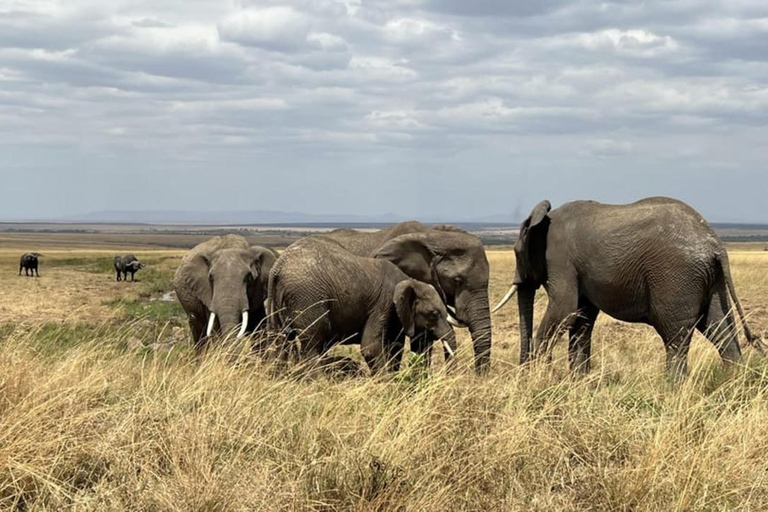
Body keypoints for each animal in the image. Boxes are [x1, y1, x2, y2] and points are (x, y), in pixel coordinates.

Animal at [268, 238, 456, 374]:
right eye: (433, 314)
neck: (409, 280)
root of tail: (278, 267)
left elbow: (395, 348)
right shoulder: (383, 305)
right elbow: (370, 348)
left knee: (280, 343)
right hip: (309, 298)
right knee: (313, 345)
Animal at [492, 198, 760, 378]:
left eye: (516, 252)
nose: (522, 370)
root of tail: (715, 243)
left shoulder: (560, 260)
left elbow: (564, 310)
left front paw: (538, 378)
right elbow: (581, 317)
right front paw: (578, 382)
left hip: (676, 277)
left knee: (674, 333)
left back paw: (672, 388)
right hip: (710, 279)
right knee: (719, 326)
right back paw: (732, 384)